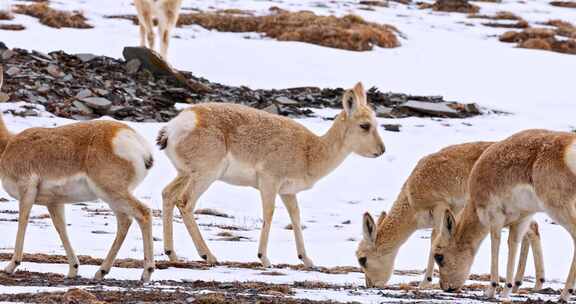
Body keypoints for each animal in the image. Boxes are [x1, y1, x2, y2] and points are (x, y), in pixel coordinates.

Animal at [0, 66, 155, 282]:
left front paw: (11, 266)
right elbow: (61, 229)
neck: (7, 145)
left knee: (143, 213)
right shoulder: (54, 203)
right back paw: (101, 272)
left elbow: (22, 221)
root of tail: (135, 141)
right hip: (112, 197)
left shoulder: (27, 192)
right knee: (125, 221)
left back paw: (146, 273)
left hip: (112, 192)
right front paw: (73, 269)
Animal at [158, 82, 384, 268]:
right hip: (205, 176)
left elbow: (296, 217)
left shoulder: (288, 192)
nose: (382, 150)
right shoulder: (269, 183)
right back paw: (209, 256)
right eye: (365, 125)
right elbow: (269, 213)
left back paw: (172, 254)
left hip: (185, 174)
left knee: (168, 194)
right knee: (185, 202)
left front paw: (307, 260)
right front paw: (264, 258)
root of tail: (175, 126)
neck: (310, 150)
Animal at [356, 141, 544, 290]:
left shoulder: (441, 208)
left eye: (362, 259)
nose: (370, 285)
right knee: (531, 230)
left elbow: (434, 240)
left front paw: (425, 282)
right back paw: (526, 283)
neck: (411, 197)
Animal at [432, 129, 576, 302]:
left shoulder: (495, 219)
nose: (445, 287)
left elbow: (496, 244)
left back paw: (564, 294)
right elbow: (512, 245)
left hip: (558, 209)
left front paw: (491, 290)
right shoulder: (521, 221)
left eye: (439, 256)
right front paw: (506, 291)